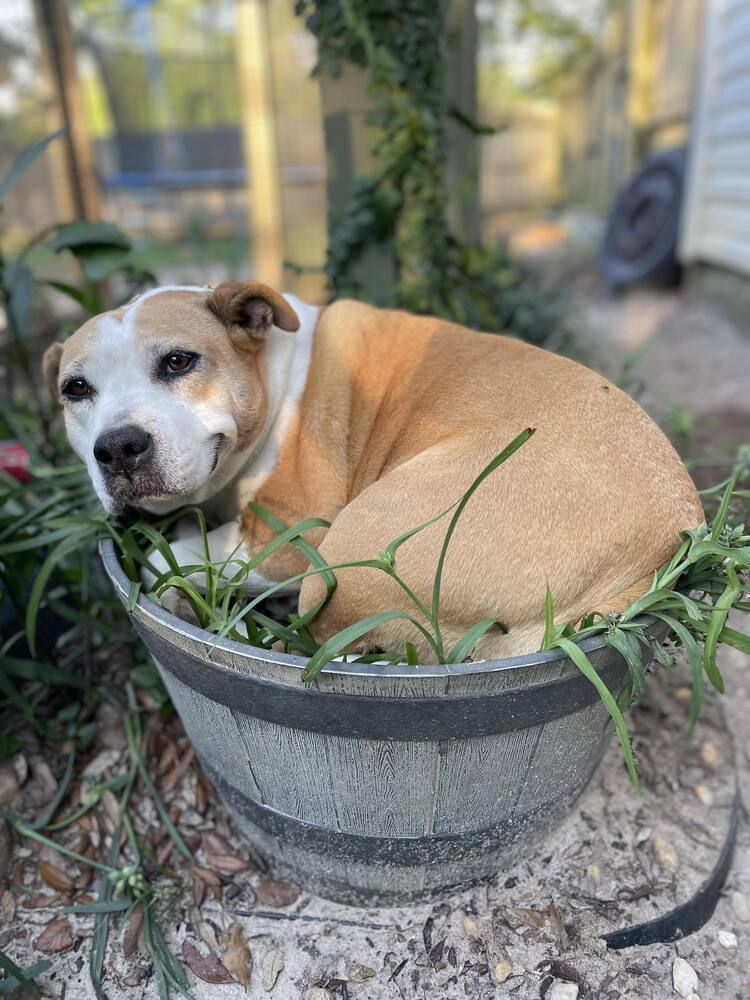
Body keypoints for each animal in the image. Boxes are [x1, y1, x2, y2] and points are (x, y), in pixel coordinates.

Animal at [45, 282, 704, 660]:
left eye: (180, 362)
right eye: (75, 390)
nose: (118, 447)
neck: (276, 371)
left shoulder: (289, 533)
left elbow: (174, 557)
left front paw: (175, 566)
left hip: (346, 556)